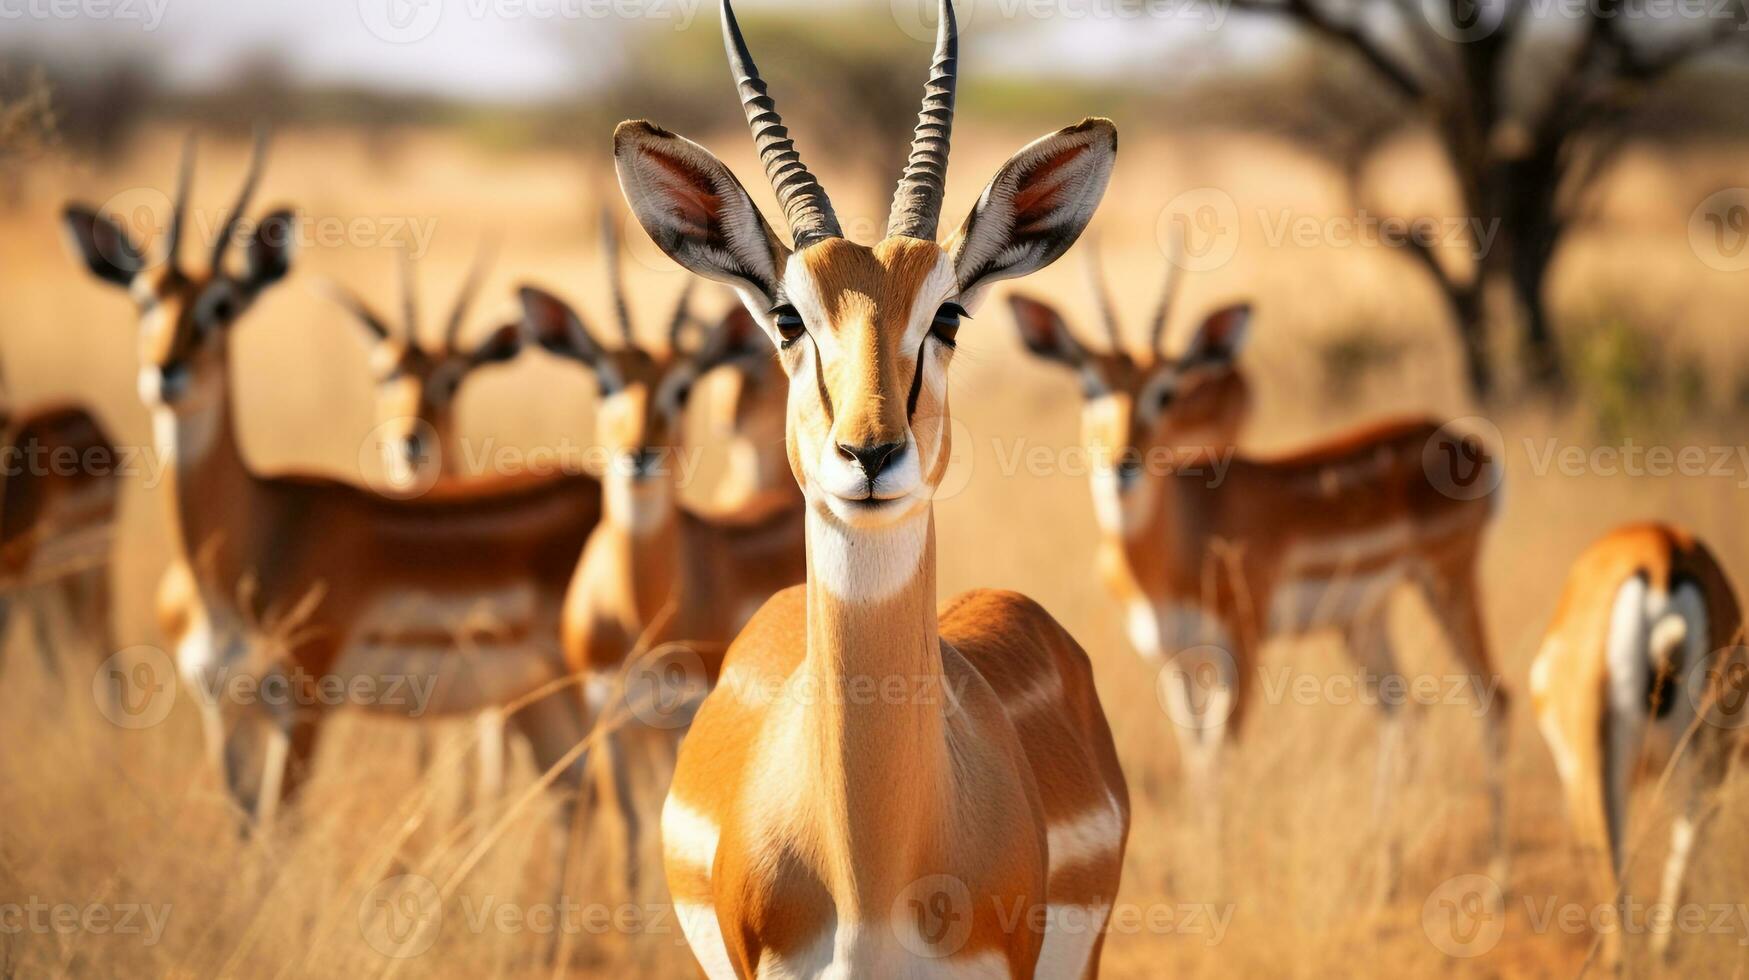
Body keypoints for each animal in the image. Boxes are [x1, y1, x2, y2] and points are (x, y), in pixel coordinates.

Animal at [63, 133, 601, 854]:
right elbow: (246, 836)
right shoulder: (224, 708)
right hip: (539, 703)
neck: (253, 536)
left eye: (222, 304)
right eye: (143, 297)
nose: (166, 373)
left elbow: (279, 839)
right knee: (576, 800)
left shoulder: (304, 706)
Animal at [1021, 252, 1511, 889]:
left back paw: (1496, 885)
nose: (1121, 463)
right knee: (1404, 708)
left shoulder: (1241, 649)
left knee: (1492, 698)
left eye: (1166, 391)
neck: (1178, 540)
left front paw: (1216, 884)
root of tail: (1470, 443)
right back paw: (1385, 871)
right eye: (1090, 384)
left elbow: (1219, 758)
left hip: (1448, 580)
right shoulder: (1173, 660)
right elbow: (1195, 761)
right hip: (1365, 618)